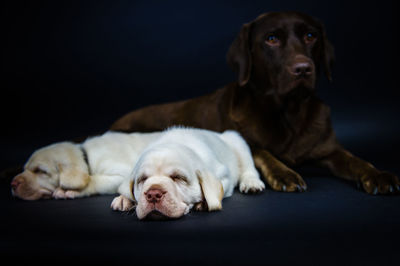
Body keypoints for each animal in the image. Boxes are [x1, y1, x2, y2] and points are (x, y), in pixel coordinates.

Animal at [10, 132, 161, 201]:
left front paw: (68, 190)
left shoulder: (122, 174)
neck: (86, 156)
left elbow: (95, 180)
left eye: (40, 171)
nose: (12, 184)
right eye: (24, 169)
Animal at [110, 11, 400, 194]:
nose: (303, 69)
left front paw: (379, 175)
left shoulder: (329, 150)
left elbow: (356, 160)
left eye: (311, 36)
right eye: (271, 39)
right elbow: (262, 152)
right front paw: (284, 173)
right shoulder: (244, 140)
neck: (289, 112)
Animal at [111, 128, 266, 219]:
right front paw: (124, 199)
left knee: (249, 167)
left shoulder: (224, 175)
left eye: (178, 178)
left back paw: (252, 183)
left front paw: (204, 202)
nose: (153, 194)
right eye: (142, 179)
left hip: (238, 141)